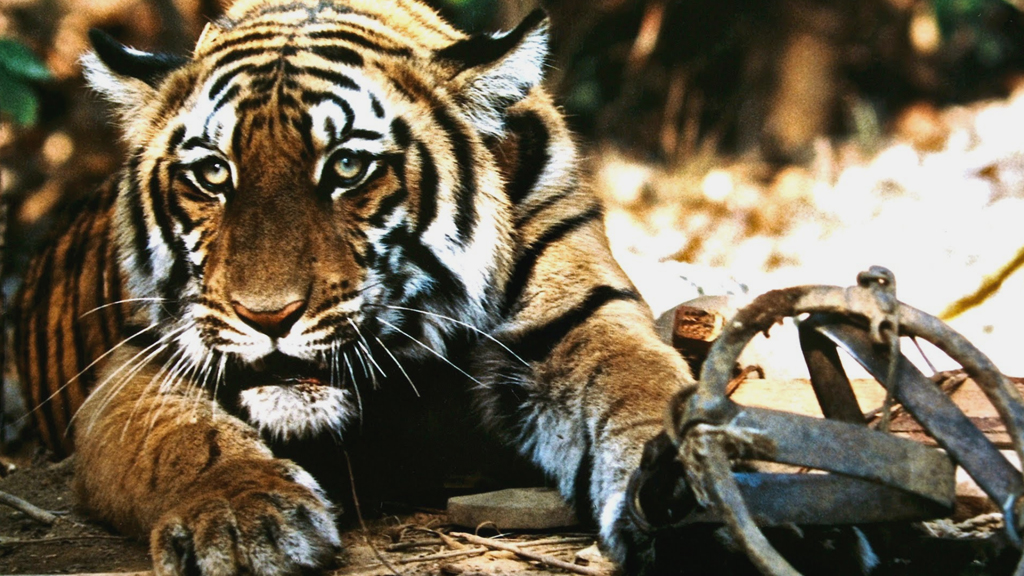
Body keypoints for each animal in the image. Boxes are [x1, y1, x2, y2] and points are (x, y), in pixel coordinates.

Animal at [13, 0, 694, 573]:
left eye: (346, 166)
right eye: (212, 174)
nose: (267, 317)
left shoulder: (579, 315)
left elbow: (642, 384)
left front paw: (686, 490)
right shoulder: (133, 370)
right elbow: (185, 440)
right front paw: (243, 521)